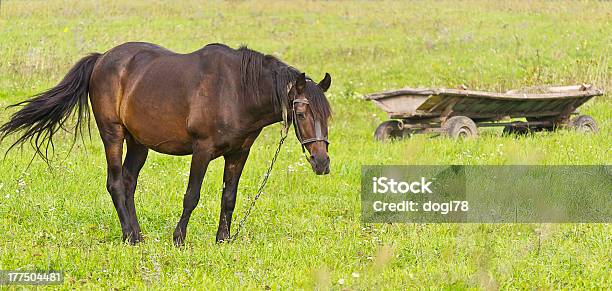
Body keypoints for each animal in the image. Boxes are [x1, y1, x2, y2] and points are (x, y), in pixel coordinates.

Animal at [0, 41, 332, 246]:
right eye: (301, 112)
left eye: (328, 115)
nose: (322, 163)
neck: (237, 91)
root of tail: (102, 58)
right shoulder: (202, 150)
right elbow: (191, 196)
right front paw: (179, 238)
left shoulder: (239, 154)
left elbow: (229, 198)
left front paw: (222, 240)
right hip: (113, 134)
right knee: (115, 183)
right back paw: (129, 237)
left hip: (138, 142)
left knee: (129, 182)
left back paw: (137, 233)